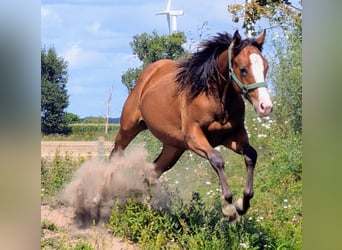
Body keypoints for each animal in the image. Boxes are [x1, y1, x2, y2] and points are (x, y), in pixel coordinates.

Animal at [111, 29, 274, 221]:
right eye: (243, 69)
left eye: (266, 67)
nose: (265, 106)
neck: (216, 99)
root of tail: (147, 75)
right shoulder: (194, 137)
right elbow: (217, 159)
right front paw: (229, 207)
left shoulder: (232, 136)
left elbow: (251, 155)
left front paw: (243, 203)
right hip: (129, 128)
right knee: (115, 154)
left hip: (173, 148)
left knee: (152, 172)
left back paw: (149, 209)